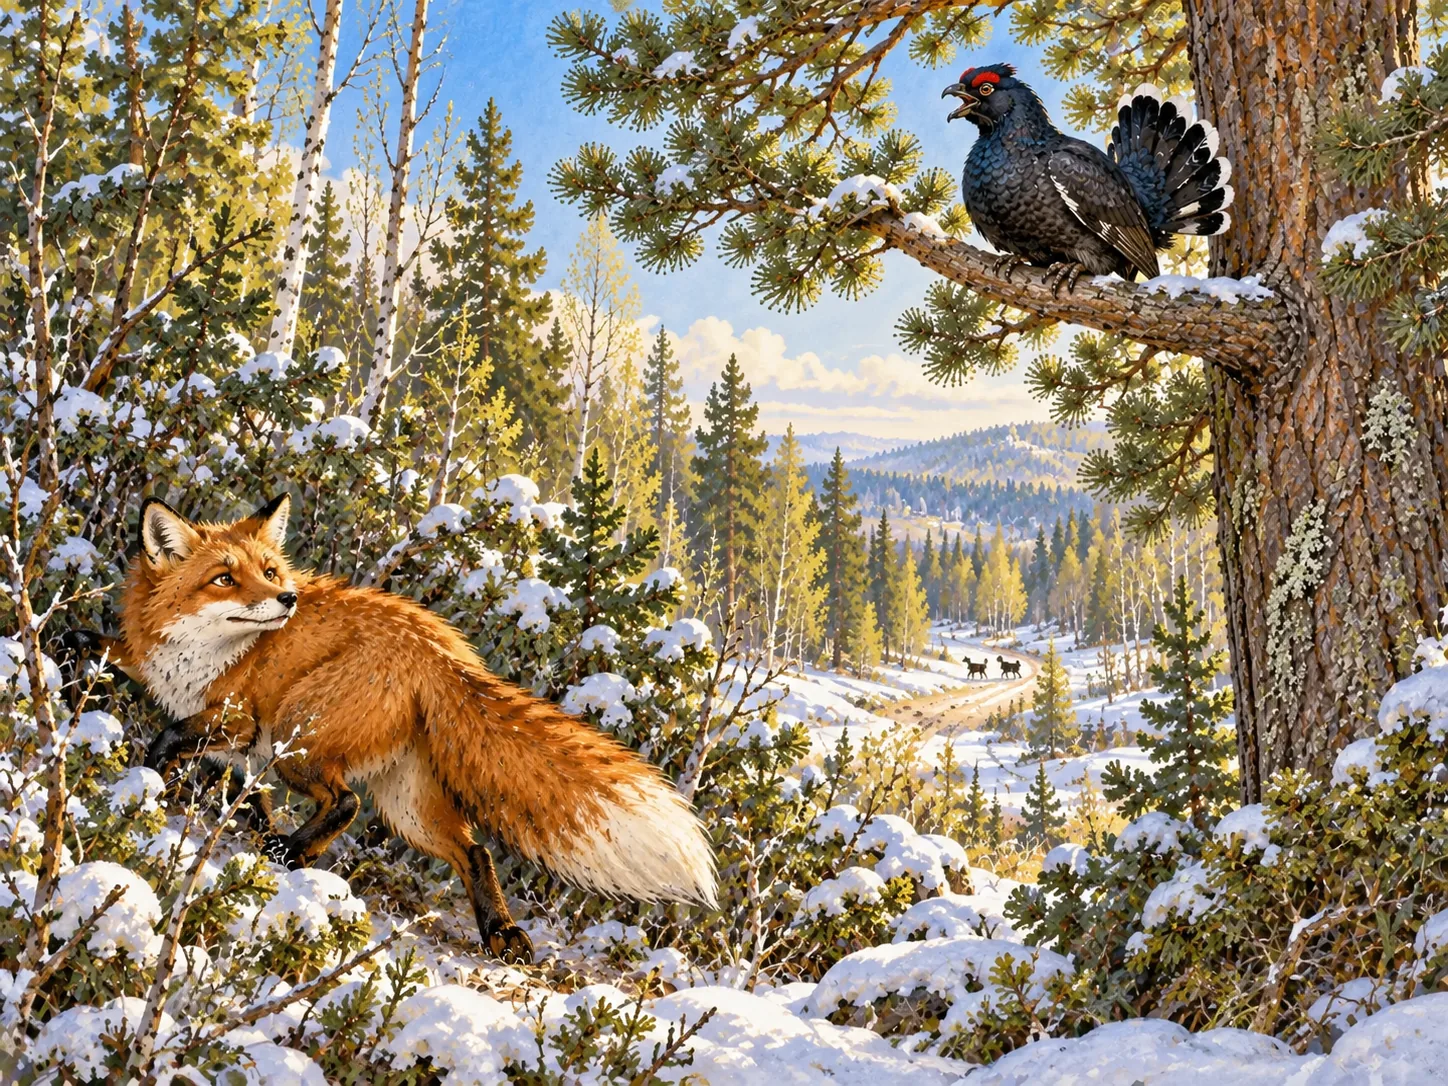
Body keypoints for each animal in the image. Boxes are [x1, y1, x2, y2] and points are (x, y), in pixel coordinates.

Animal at [71, 493, 718, 962]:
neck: (205, 652)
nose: (287, 599)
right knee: (474, 850)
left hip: (299, 739)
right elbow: (106, 653)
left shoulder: (241, 721)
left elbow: (173, 739)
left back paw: (291, 852)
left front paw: (146, 783)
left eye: (270, 570)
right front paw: (76, 654)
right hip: (407, 804)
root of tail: (443, 651)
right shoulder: (214, 720)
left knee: (346, 803)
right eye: (224, 578)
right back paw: (500, 932)